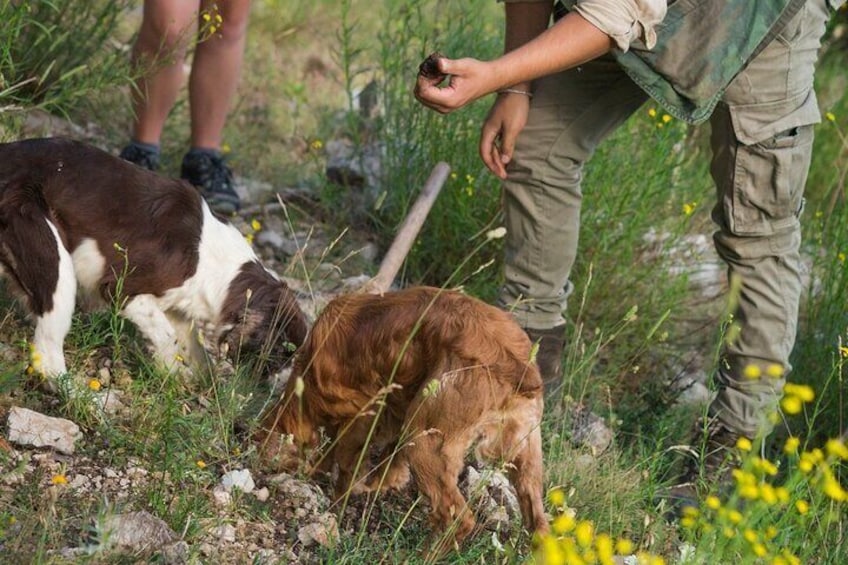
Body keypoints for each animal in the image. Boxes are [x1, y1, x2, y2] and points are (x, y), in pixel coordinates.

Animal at [0, 139, 310, 390]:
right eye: (283, 350)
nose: (285, 388)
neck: (213, 261)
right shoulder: (122, 289)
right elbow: (166, 335)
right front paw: (173, 373)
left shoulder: (181, 307)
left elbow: (191, 345)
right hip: (52, 257)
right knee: (47, 353)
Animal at [252, 286, 548, 552]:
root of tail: (520, 369)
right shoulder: (399, 414)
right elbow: (379, 458)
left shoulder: (363, 413)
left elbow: (345, 462)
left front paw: (338, 502)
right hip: (525, 458)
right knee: (539, 523)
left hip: (425, 441)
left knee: (456, 518)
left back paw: (421, 555)